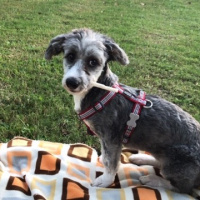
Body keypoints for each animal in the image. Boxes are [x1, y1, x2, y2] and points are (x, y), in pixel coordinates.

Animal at [45, 28, 200, 194]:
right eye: (70, 56)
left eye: (93, 61)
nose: (72, 82)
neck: (100, 93)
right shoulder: (105, 139)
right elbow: (106, 156)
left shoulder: (112, 139)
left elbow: (111, 162)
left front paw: (106, 180)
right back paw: (142, 158)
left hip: (177, 164)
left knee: (182, 187)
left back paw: (153, 179)